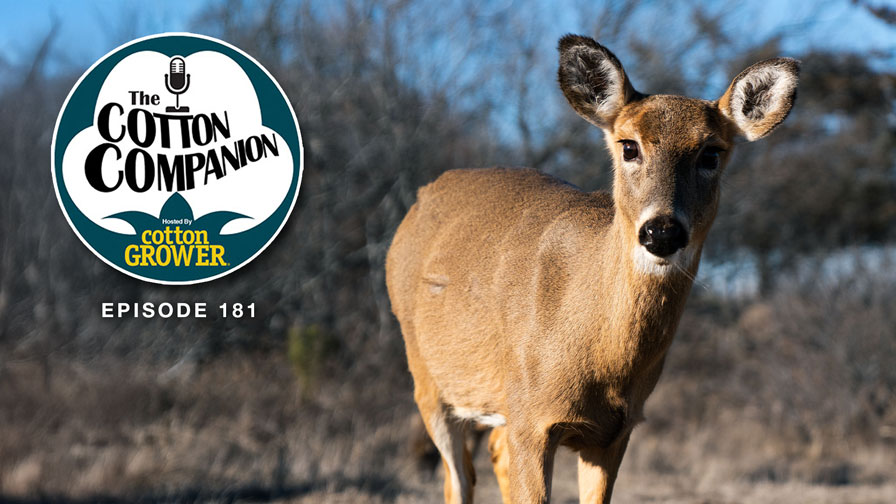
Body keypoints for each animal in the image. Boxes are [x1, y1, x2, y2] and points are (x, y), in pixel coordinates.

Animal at [385, 34, 799, 504]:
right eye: (629, 145)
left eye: (711, 152)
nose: (661, 232)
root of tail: (421, 198)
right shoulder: (531, 420)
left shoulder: (614, 433)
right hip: (428, 378)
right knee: (456, 475)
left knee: (489, 454)